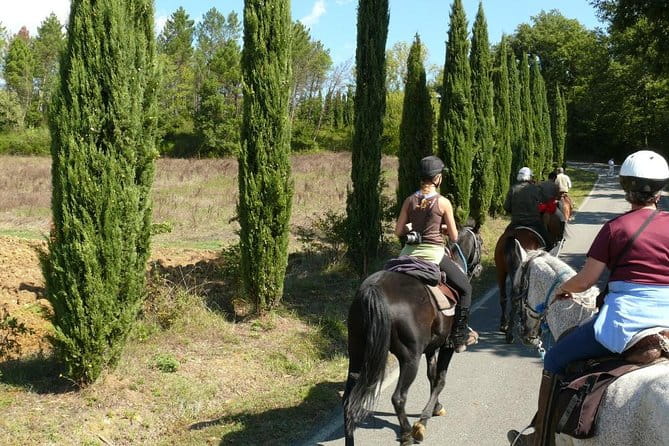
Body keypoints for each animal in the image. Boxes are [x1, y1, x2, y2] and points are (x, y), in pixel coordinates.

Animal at [343, 225, 483, 446]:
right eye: (481, 242)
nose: (479, 269)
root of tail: (373, 290)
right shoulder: (446, 346)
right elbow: (440, 379)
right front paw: (422, 422)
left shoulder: (431, 348)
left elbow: (432, 376)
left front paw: (436, 407)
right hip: (410, 358)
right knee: (398, 397)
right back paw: (408, 433)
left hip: (357, 353)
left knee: (348, 400)